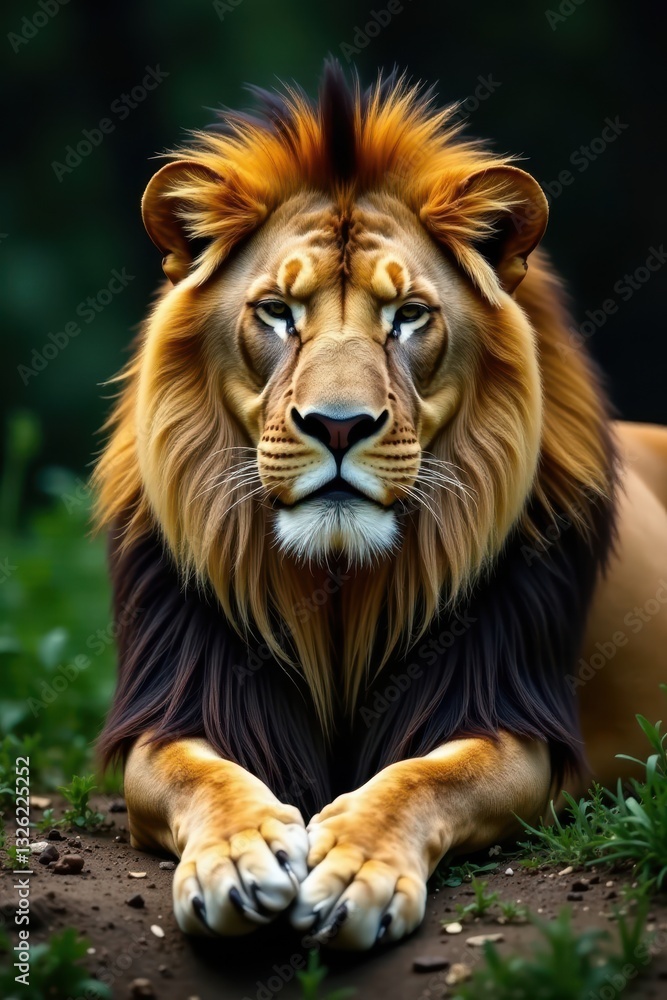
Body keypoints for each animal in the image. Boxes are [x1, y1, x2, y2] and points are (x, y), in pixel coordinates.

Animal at [94, 63, 667, 950]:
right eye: (277, 313)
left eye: (407, 317)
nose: (338, 425)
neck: (337, 588)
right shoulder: (181, 702)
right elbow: (204, 777)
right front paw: (239, 858)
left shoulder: (509, 716)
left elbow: (424, 778)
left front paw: (354, 868)